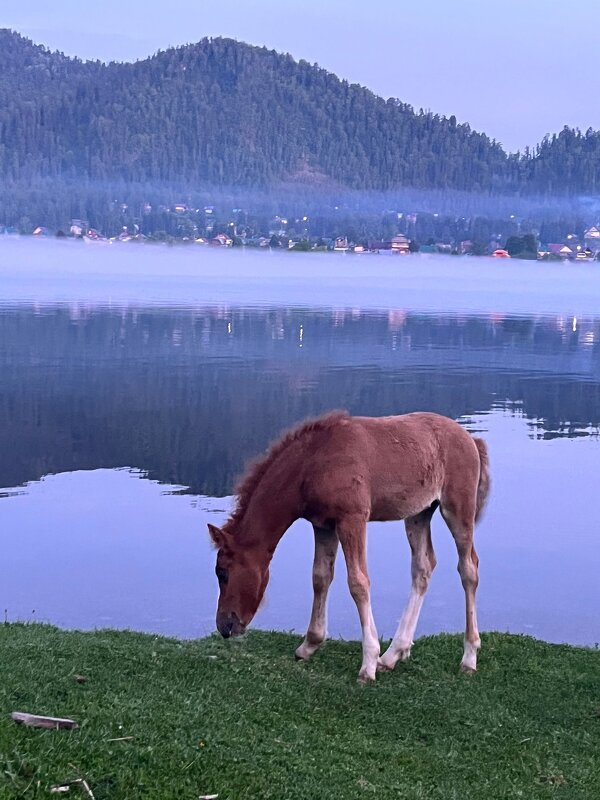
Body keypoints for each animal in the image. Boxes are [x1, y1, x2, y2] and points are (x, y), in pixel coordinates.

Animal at [209, 412, 490, 680]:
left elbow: (358, 583)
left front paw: (368, 664)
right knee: (423, 568)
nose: (224, 626)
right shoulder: (323, 525)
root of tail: (471, 440)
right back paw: (393, 655)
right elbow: (320, 577)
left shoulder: (352, 519)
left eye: (222, 572)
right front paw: (309, 645)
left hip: (457, 508)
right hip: (419, 513)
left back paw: (469, 658)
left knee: (469, 569)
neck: (312, 463)